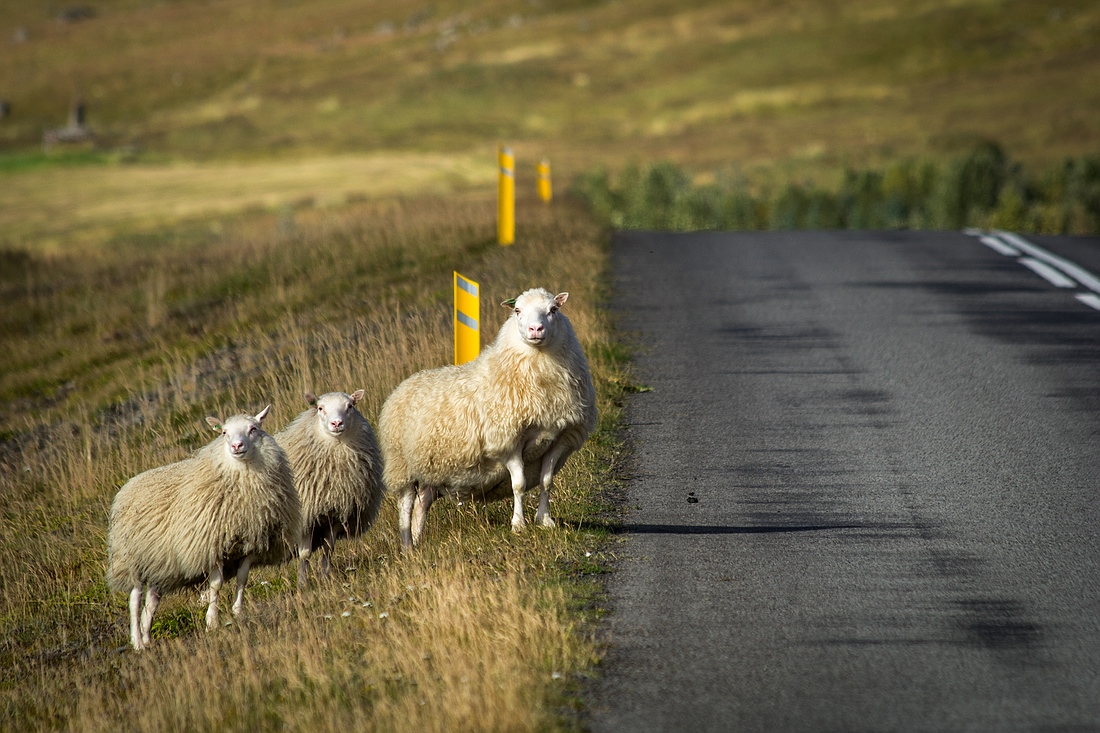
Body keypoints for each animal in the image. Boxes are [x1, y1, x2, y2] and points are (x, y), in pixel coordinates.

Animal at [105, 405, 299, 651]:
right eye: (224, 432)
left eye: (253, 428)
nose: (237, 446)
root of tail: (128, 485)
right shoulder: (211, 546)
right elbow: (216, 585)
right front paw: (212, 622)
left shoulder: (250, 543)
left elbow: (243, 578)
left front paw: (237, 611)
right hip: (133, 559)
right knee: (135, 599)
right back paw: (137, 641)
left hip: (159, 563)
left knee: (151, 601)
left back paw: (147, 638)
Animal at [272, 387, 385, 589]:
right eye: (320, 408)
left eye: (350, 406)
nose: (336, 423)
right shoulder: (306, 518)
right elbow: (305, 553)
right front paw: (302, 584)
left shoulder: (336, 515)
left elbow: (328, 548)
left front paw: (326, 576)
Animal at [380, 286, 602, 548]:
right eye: (517, 311)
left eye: (553, 309)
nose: (535, 330)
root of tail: (403, 384)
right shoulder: (507, 440)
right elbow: (519, 484)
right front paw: (519, 524)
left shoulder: (559, 439)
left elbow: (546, 481)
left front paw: (545, 521)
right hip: (401, 466)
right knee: (405, 506)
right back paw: (406, 546)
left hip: (431, 471)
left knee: (422, 503)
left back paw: (417, 541)